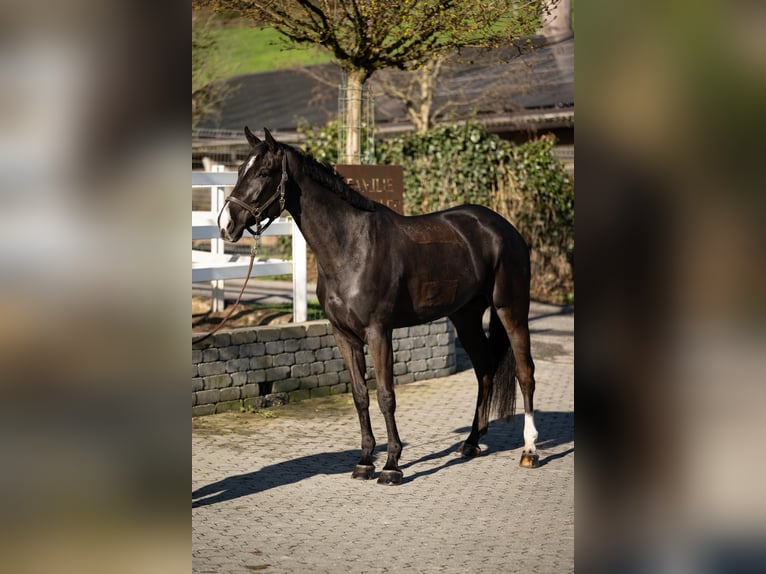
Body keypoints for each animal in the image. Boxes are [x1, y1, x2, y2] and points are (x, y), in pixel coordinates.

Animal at [218, 127, 539, 485]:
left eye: (263, 172)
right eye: (238, 170)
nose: (226, 225)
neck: (351, 247)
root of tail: (504, 228)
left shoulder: (378, 332)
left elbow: (386, 396)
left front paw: (392, 465)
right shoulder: (344, 335)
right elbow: (360, 395)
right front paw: (365, 460)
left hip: (511, 310)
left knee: (525, 373)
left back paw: (529, 451)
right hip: (465, 317)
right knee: (484, 369)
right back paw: (470, 442)